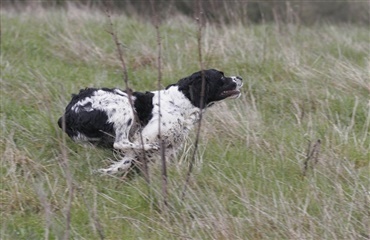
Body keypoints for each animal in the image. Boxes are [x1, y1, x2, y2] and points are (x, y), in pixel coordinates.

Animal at [57, 69, 243, 174]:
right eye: (221, 77)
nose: (240, 77)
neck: (182, 102)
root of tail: (67, 113)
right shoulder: (148, 134)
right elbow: (132, 150)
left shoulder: (170, 147)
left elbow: (124, 163)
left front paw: (106, 171)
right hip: (124, 106)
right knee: (120, 142)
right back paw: (149, 147)